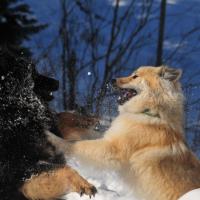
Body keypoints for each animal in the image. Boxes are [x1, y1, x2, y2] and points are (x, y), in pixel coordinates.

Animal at [47, 66, 200, 200]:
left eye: (135, 76)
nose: (112, 80)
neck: (149, 113)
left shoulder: (111, 148)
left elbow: (76, 144)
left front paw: (52, 138)